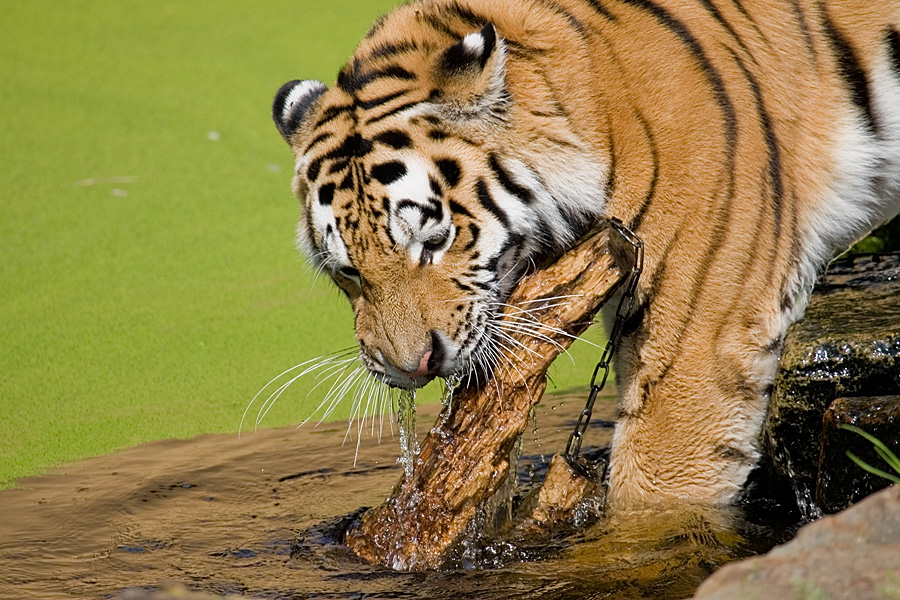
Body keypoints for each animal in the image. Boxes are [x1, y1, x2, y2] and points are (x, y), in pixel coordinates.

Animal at [272, 0, 900, 506]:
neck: (597, 110)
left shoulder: (698, 342)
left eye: (433, 241)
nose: (411, 367)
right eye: (348, 272)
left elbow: (655, 496)